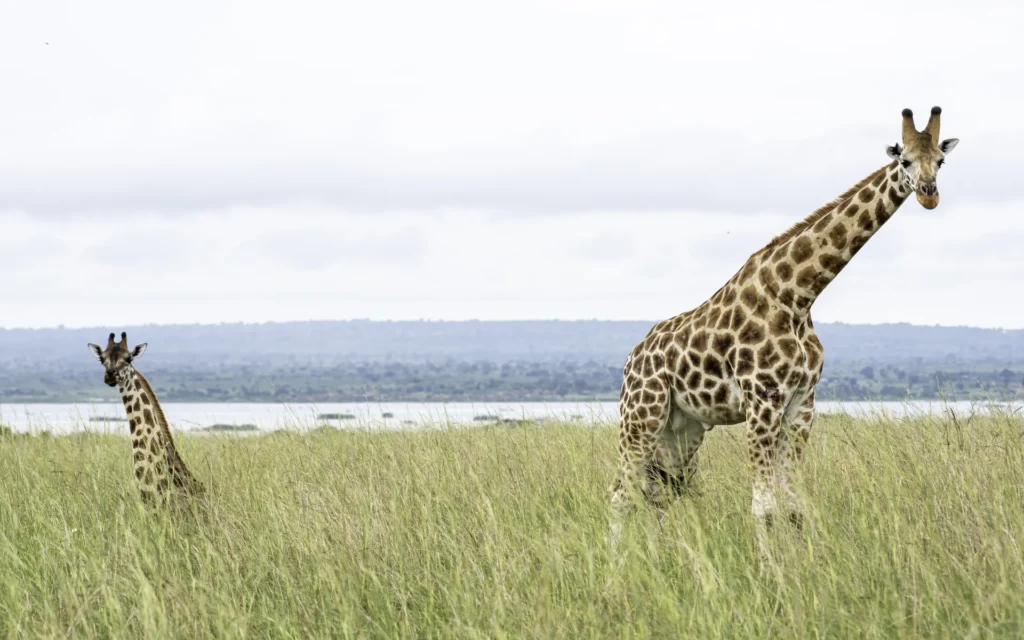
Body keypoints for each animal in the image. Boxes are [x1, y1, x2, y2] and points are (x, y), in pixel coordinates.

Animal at [610, 107, 959, 551]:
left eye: (941, 161)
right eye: (905, 161)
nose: (929, 194)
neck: (798, 296)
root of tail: (632, 359)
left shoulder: (801, 404)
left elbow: (792, 506)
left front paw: (799, 563)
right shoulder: (762, 401)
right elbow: (764, 507)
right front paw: (768, 568)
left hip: (682, 429)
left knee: (656, 492)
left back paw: (661, 557)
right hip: (641, 415)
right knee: (620, 493)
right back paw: (618, 565)